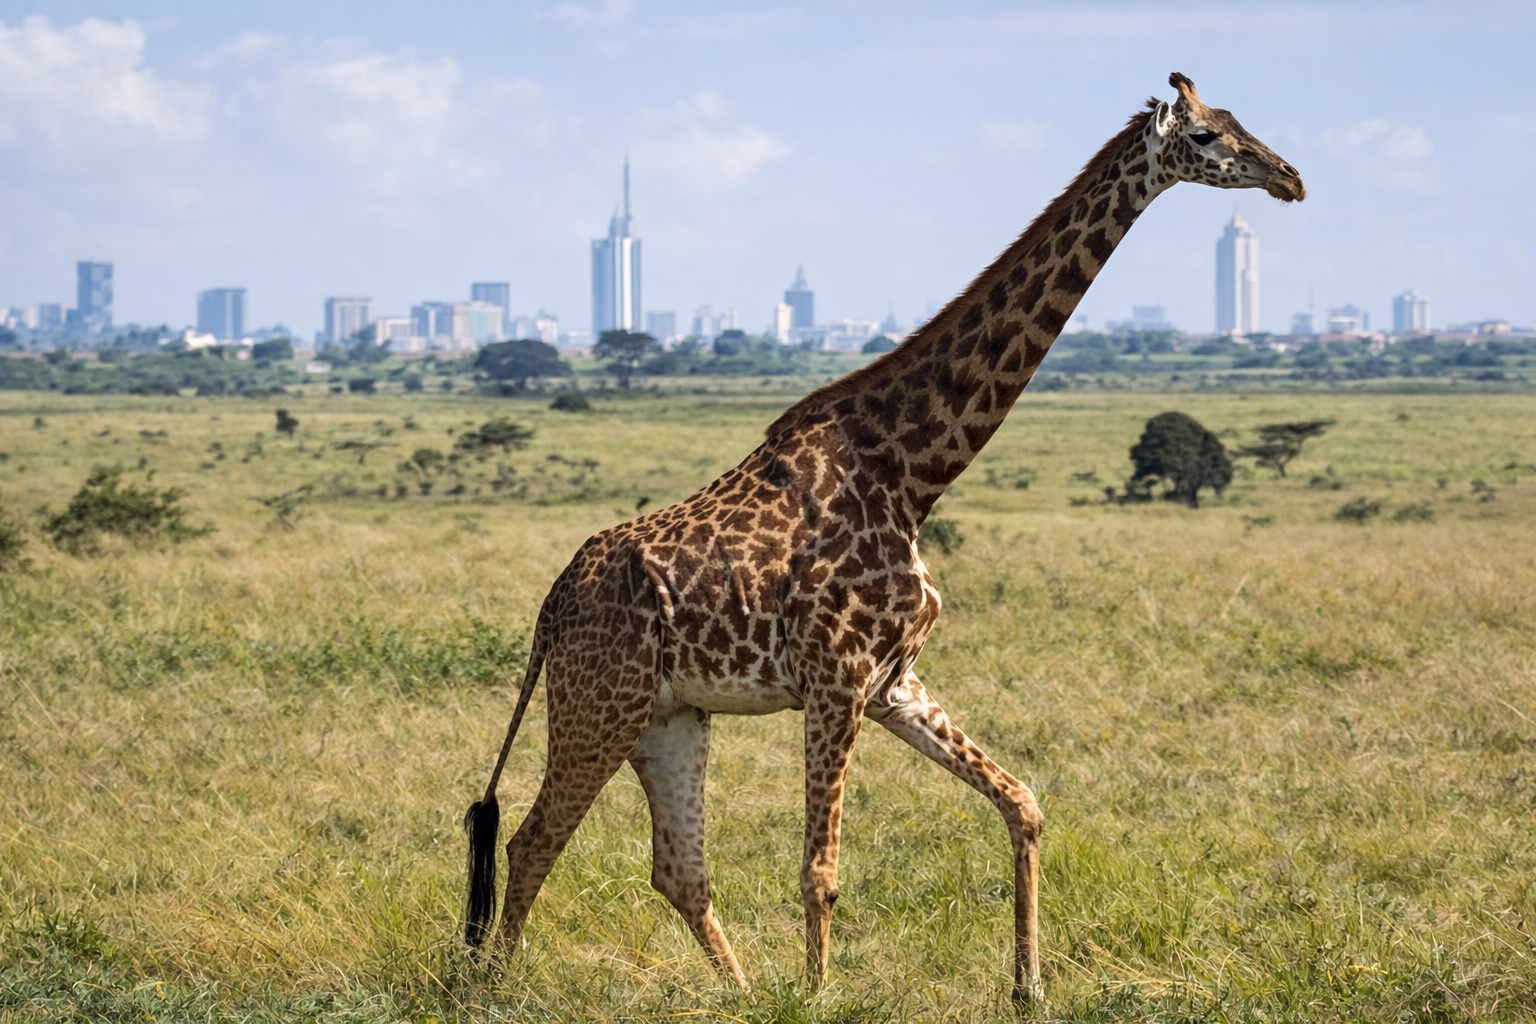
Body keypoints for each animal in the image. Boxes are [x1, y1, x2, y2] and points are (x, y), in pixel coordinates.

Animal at [464, 72, 1304, 1007]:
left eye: (1238, 121)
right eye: (1205, 136)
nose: (1290, 178)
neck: (913, 473)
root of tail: (550, 607)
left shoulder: (891, 681)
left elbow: (1023, 802)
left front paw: (1029, 986)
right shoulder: (836, 679)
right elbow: (821, 871)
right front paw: (820, 998)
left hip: (667, 715)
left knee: (677, 870)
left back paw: (742, 996)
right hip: (597, 703)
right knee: (534, 838)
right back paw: (498, 988)